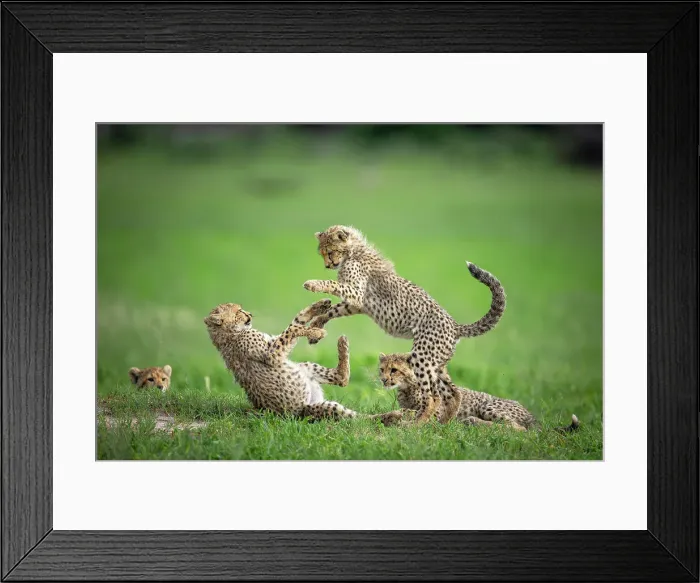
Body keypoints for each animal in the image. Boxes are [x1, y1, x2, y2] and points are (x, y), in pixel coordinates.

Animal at [204, 299, 401, 424]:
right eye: (238, 311)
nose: (250, 314)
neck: (227, 334)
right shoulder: (272, 354)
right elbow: (293, 329)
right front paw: (315, 331)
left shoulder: (275, 346)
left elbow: (295, 322)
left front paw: (318, 306)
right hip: (318, 409)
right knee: (357, 419)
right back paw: (392, 416)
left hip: (304, 368)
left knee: (341, 378)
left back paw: (342, 345)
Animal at [303, 225, 506, 426]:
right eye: (322, 253)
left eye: (330, 251)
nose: (328, 265)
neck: (353, 252)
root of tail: (454, 325)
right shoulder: (357, 303)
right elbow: (333, 310)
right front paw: (316, 327)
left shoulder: (356, 292)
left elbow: (333, 284)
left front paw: (313, 284)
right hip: (437, 364)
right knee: (453, 393)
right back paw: (443, 423)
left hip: (422, 357)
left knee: (433, 396)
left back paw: (416, 424)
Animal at [378, 352, 580, 433]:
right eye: (382, 369)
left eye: (394, 370)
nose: (384, 379)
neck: (408, 388)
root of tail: (530, 415)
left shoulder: (436, 412)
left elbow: (416, 413)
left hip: (488, 406)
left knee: (518, 428)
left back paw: (473, 421)